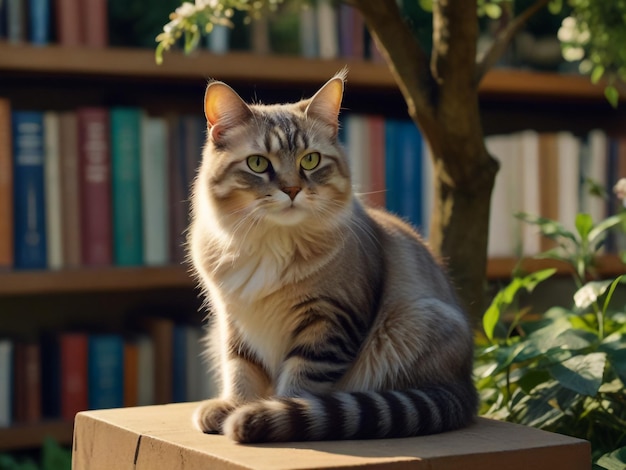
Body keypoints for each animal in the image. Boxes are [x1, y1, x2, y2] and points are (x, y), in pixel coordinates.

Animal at [188, 70, 476, 444]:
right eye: (257, 163)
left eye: (310, 160)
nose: (292, 190)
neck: (271, 245)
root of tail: (467, 385)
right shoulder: (233, 320)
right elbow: (241, 372)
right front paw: (231, 407)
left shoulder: (328, 322)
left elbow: (299, 385)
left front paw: (266, 412)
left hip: (413, 322)